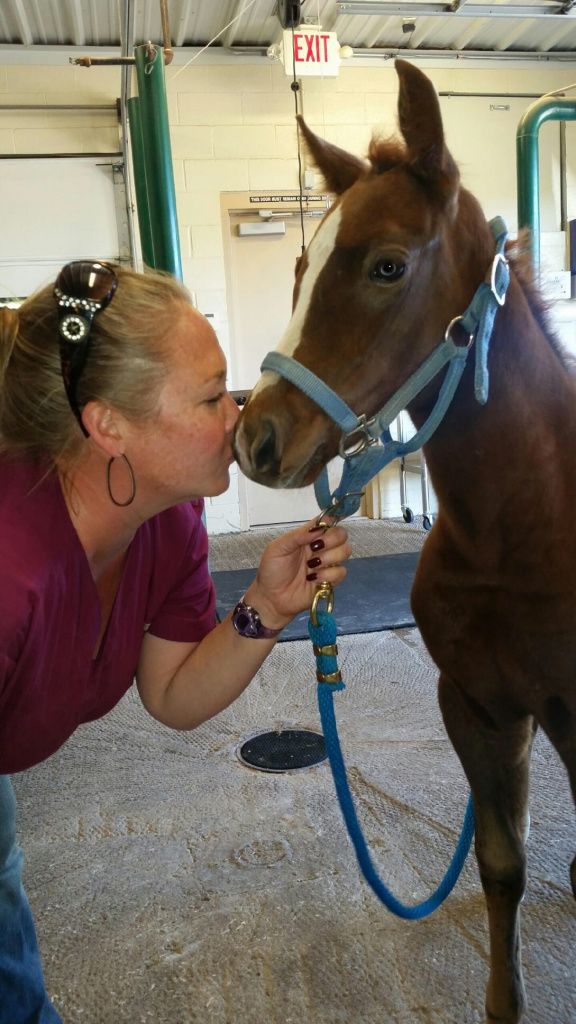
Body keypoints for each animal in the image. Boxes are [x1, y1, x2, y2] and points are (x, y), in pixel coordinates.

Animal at [233, 58, 576, 1023]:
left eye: (387, 265)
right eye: (302, 265)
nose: (255, 438)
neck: (518, 538)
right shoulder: (479, 707)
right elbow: (501, 864)